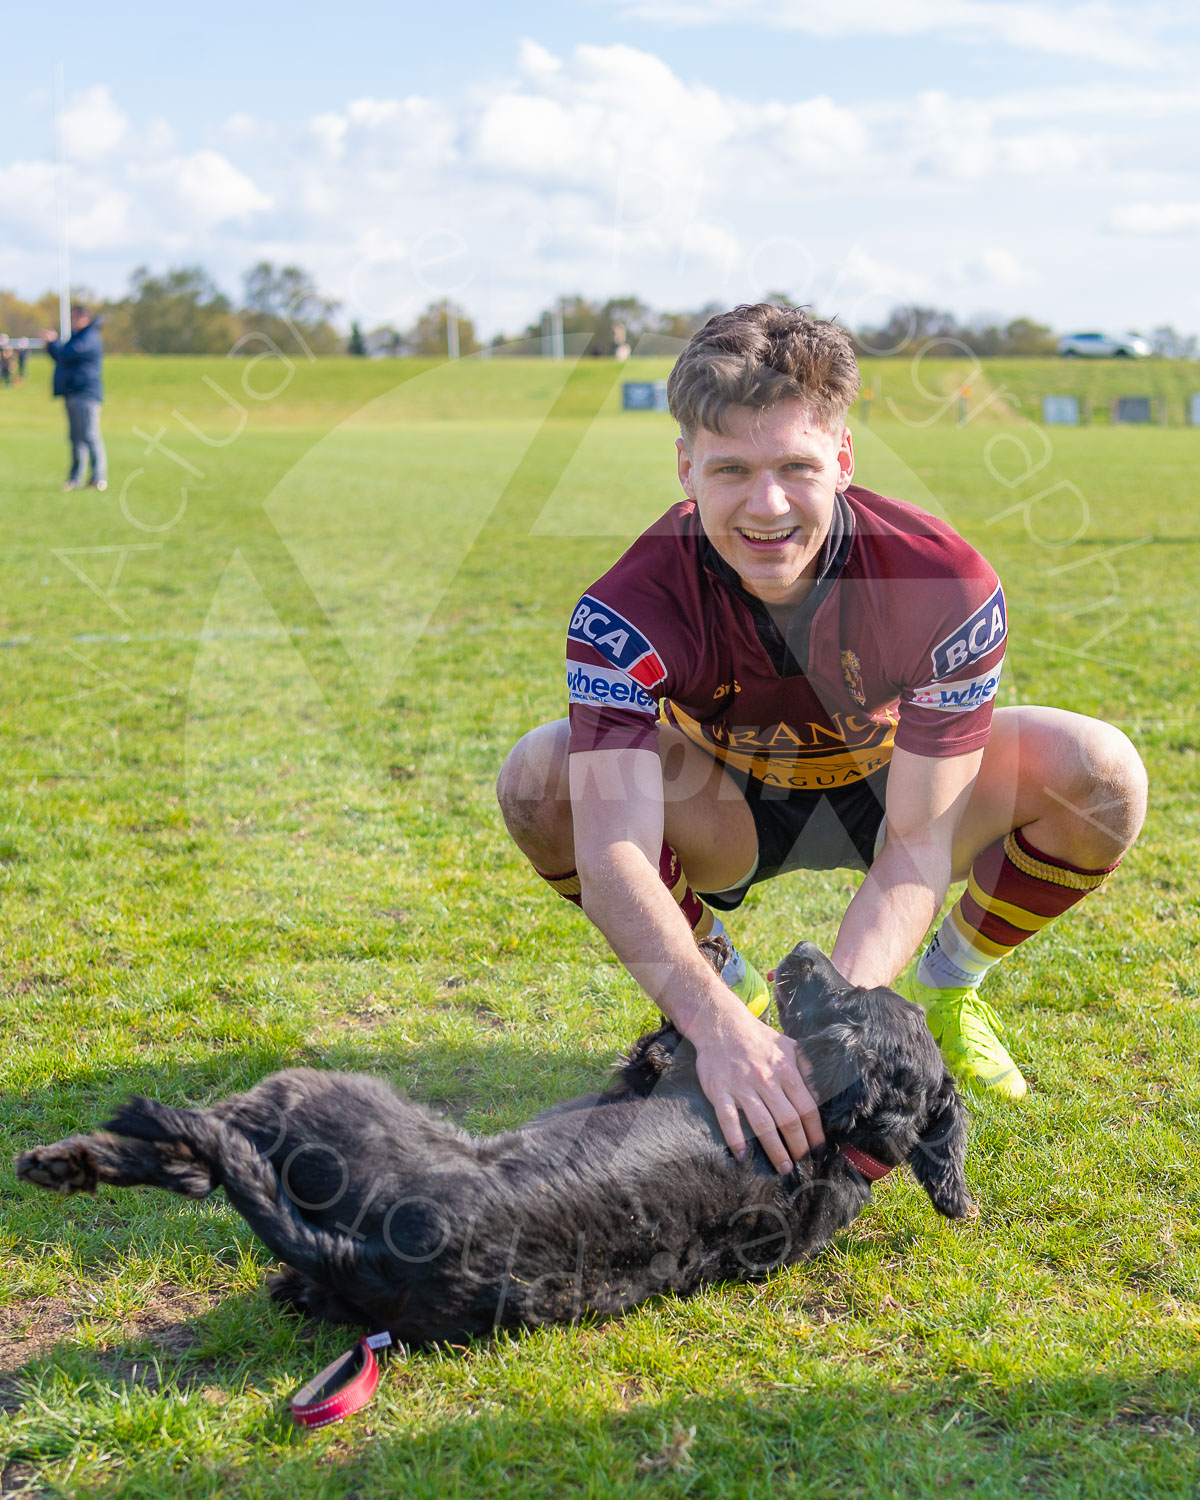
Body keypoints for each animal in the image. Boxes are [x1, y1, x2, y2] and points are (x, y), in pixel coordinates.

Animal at [16, 942, 966, 1344]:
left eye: (846, 998)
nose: (803, 948)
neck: (843, 1140)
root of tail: (375, 1261)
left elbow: (658, 1045)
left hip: (310, 1095)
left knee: (201, 1144)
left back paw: (77, 1156)